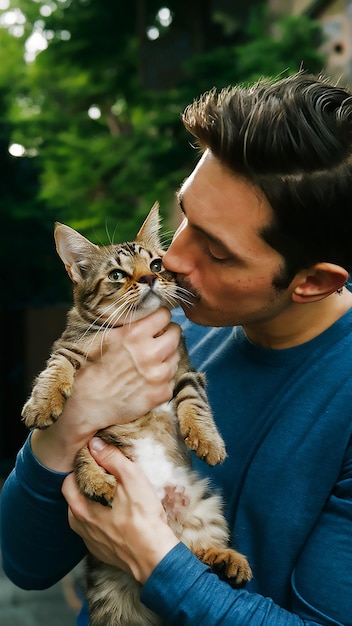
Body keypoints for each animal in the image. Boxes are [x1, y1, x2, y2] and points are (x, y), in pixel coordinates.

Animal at [21, 202, 250, 620]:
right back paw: (97, 481)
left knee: (188, 552)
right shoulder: (68, 348)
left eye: (157, 264)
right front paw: (42, 403)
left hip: (207, 509)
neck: (132, 329)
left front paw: (207, 440)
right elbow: (55, 371)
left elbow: (194, 404)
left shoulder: (186, 372)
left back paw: (227, 559)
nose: (148, 279)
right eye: (117, 274)